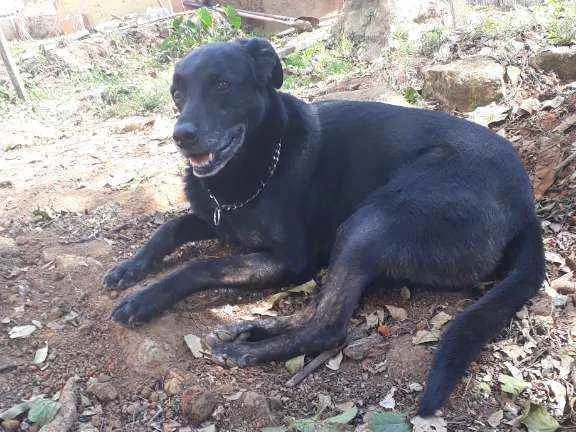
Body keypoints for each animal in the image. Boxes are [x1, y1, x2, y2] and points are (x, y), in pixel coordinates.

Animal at [104, 37, 544, 416]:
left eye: (223, 85)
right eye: (177, 93)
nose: (182, 135)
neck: (261, 160)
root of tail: (527, 206)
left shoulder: (291, 259)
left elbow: (202, 265)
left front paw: (144, 299)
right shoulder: (217, 218)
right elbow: (169, 228)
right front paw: (129, 269)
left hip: (372, 219)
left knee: (329, 326)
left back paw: (246, 351)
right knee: (319, 306)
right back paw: (251, 330)